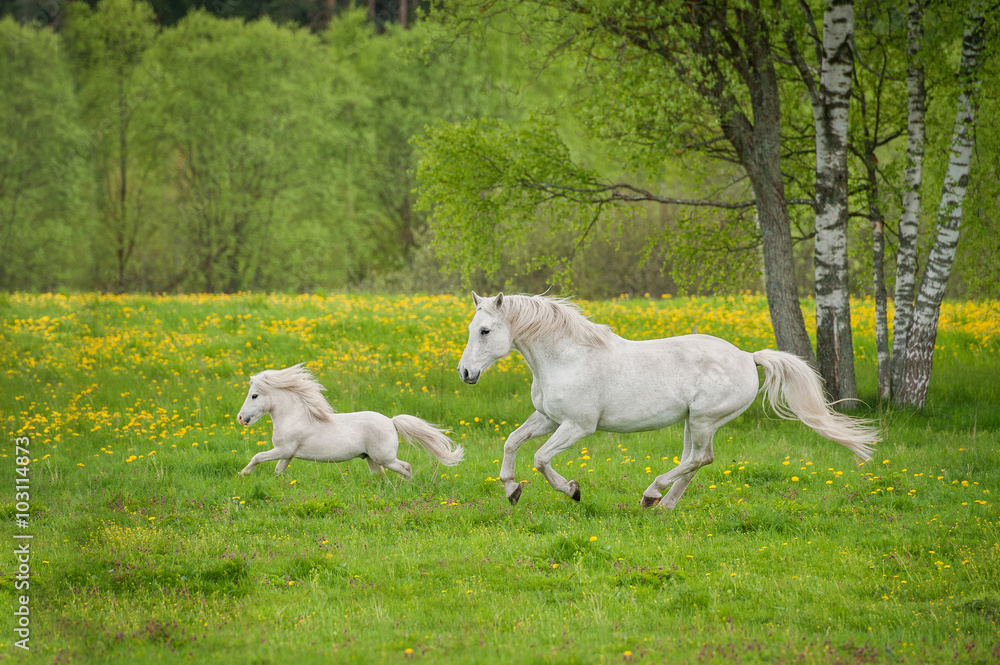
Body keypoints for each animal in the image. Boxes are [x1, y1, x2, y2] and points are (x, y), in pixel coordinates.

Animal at [236, 363, 463, 478]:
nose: (240, 418)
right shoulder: (288, 454)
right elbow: (278, 470)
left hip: (384, 457)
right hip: (371, 458)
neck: (295, 417)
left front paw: (242, 474)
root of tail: (391, 422)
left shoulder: (283, 450)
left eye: (254, 395)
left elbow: (257, 457)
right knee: (379, 474)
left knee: (405, 467)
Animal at [457, 292, 877, 509]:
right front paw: (511, 490)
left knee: (700, 459)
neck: (567, 357)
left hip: (705, 419)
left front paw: (572, 490)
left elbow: (541, 458)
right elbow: (512, 442)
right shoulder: (547, 418)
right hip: (694, 421)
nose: (465, 373)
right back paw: (663, 505)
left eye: (485, 330)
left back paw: (652, 494)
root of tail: (747, 356)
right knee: (693, 462)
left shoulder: (578, 426)